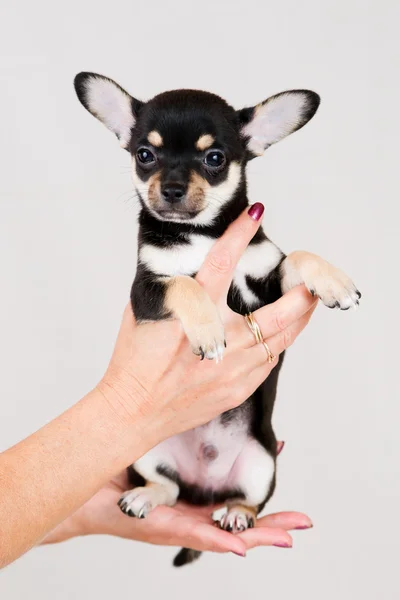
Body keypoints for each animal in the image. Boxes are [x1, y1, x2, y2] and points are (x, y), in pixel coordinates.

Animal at [73, 74, 360, 568]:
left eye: (214, 159)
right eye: (144, 155)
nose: (170, 188)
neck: (202, 235)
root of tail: (204, 489)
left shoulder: (268, 283)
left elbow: (298, 257)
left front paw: (333, 281)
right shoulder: (148, 287)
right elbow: (184, 285)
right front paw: (208, 329)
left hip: (263, 461)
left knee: (249, 500)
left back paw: (236, 513)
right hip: (148, 451)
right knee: (168, 488)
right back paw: (145, 497)